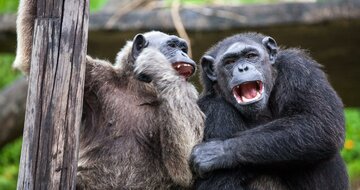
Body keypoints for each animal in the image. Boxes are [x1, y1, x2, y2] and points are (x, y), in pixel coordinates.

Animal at [12, 0, 204, 189]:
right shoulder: (94, 77)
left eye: (183, 48)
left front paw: (156, 63)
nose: (184, 53)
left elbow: (186, 165)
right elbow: (32, 51)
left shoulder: (191, 96)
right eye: (172, 46)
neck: (139, 89)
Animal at [191, 32, 348, 190]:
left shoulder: (300, 70)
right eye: (229, 62)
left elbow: (319, 122)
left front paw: (219, 151)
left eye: (251, 56)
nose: (243, 68)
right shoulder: (213, 108)